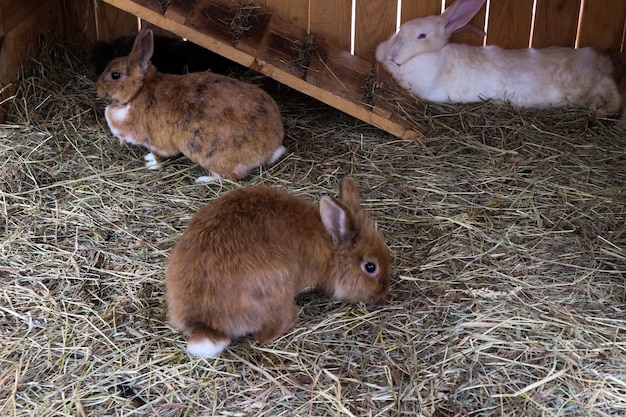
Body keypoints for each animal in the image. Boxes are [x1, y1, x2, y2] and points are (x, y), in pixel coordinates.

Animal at [95, 27, 286, 180]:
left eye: (115, 75)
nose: (98, 89)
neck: (138, 92)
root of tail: (271, 148)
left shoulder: (158, 141)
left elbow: (160, 156)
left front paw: (150, 163)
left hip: (212, 156)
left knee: (231, 176)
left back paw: (203, 179)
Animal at [165, 177, 390, 356]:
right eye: (370, 267)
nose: (383, 295)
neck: (331, 246)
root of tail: (206, 324)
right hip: (279, 291)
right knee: (267, 332)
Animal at [376, 0, 620, 114]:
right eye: (400, 29)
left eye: (421, 35)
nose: (392, 53)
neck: (435, 53)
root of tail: (599, 61)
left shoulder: (419, 84)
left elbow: (399, 75)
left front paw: (387, 64)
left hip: (588, 79)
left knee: (612, 88)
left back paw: (606, 110)